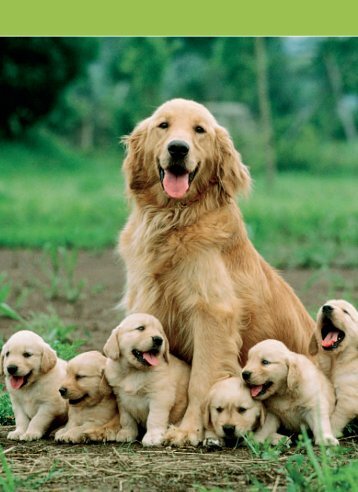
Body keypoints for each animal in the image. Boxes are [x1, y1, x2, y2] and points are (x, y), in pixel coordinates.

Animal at [103, 314, 190, 448]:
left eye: (160, 332)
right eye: (140, 328)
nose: (159, 340)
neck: (134, 371)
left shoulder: (160, 396)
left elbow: (154, 418)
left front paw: (153, 437)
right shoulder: (121, 397)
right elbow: (126, 418)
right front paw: (127, 433)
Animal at [119, 98, 314, 444]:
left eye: (200, 130)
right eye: (163, 125)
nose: (178, 148)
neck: (174, 218)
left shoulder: (212, 314)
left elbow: (202, 381)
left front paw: (188, 430)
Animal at [310, 300, 358, 434]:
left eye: (346, 311)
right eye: (323, 306)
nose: (326, 308)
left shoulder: (348, 399)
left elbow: (336, 418)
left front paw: (330, 433)